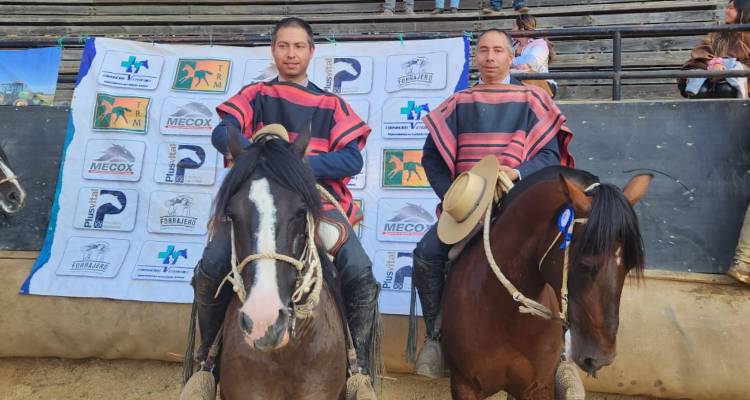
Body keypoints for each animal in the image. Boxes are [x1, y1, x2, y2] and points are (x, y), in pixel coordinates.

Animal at [440, 166, 652, 400]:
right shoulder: (464, 384)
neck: (503, 316)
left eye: (628, 267)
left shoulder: (538, 386)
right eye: (586, 264)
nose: (601, 358)